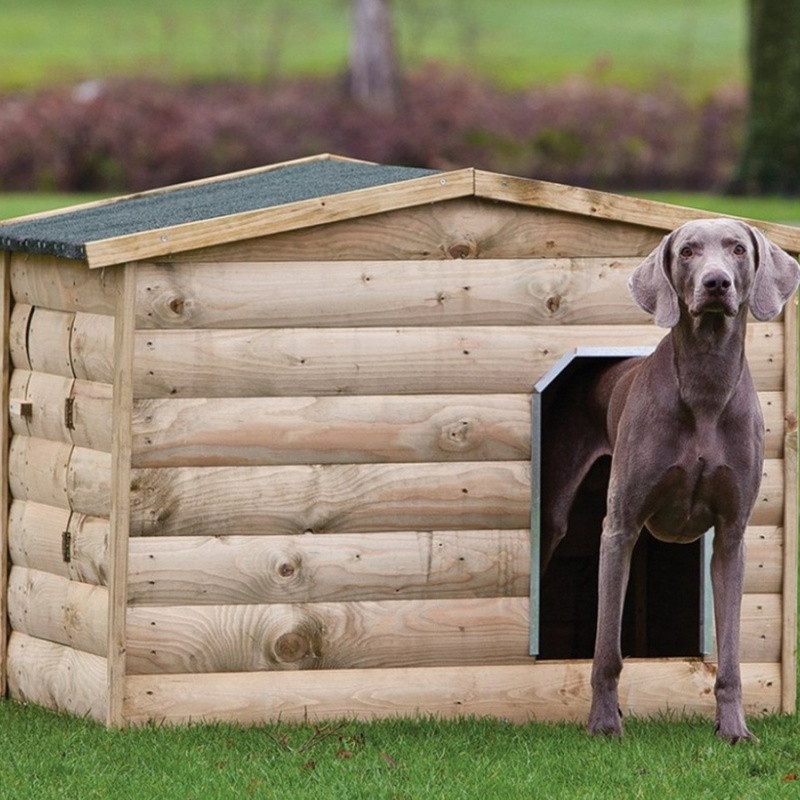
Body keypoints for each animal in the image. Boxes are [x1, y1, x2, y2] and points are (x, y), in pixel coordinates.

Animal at [536, 216, 800, 740]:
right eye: (687, 251)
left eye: (738, 249)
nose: (716, 283)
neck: (705, 387)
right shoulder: (619, 528)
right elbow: (607, 650)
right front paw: (604, 725)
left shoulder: (732, 535)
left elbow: (731, 657)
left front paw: (733, 729)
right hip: (559, 515)